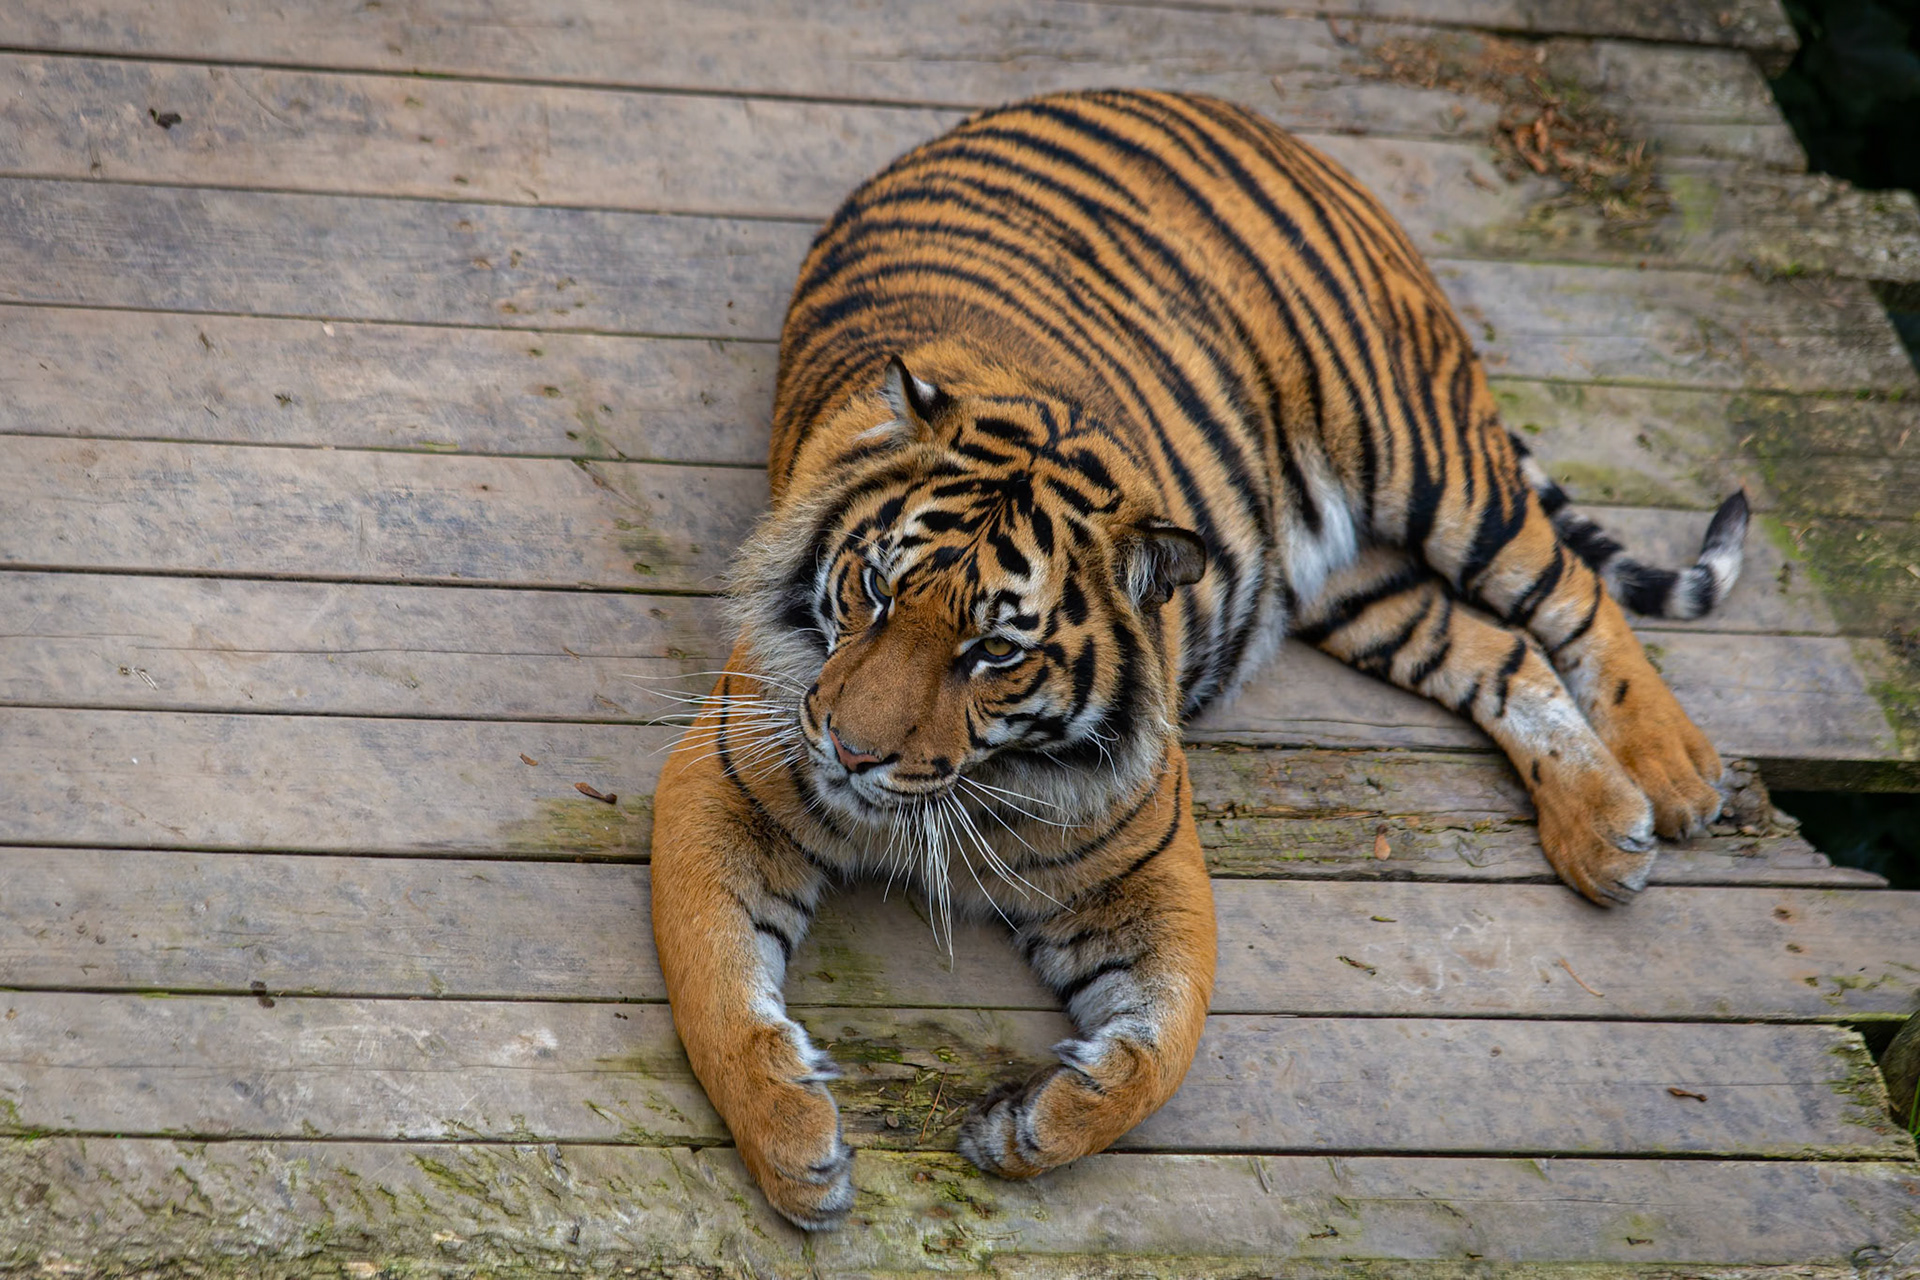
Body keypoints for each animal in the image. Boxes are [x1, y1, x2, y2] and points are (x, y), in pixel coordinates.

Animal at [649, 88, 1746, 1230]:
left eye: (993, 650)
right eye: (872, 587)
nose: (849, 754)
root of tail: (1238, 110)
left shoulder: (1150, 859)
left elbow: (1162, 1049)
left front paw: (1030, 1127)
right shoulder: (723, 776)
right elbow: (715, 985)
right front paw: (796, 1151)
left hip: (1425, 456)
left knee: (1568, 588)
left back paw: (1674, 779)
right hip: (1349, 581)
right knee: (1500, 643)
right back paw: (1602, 828)